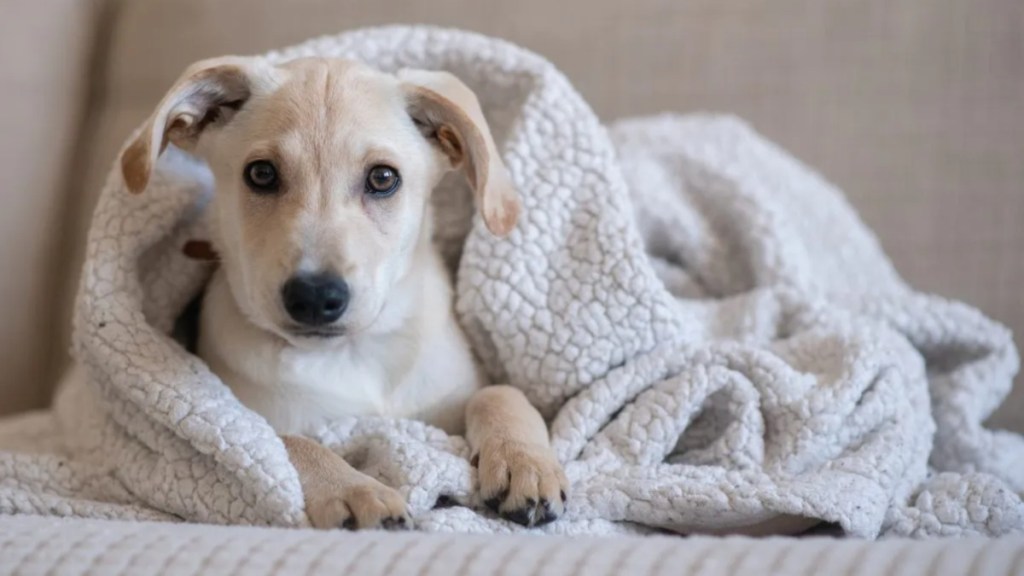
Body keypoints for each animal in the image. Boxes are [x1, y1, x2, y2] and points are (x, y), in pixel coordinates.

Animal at [121, 56, 569, 528]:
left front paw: (524, 462)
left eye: (383, 178)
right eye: (261, 173)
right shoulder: (245, 418)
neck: (353, 355)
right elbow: (287, 442)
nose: (314, 297)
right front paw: (355, 491)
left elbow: (500, 392)